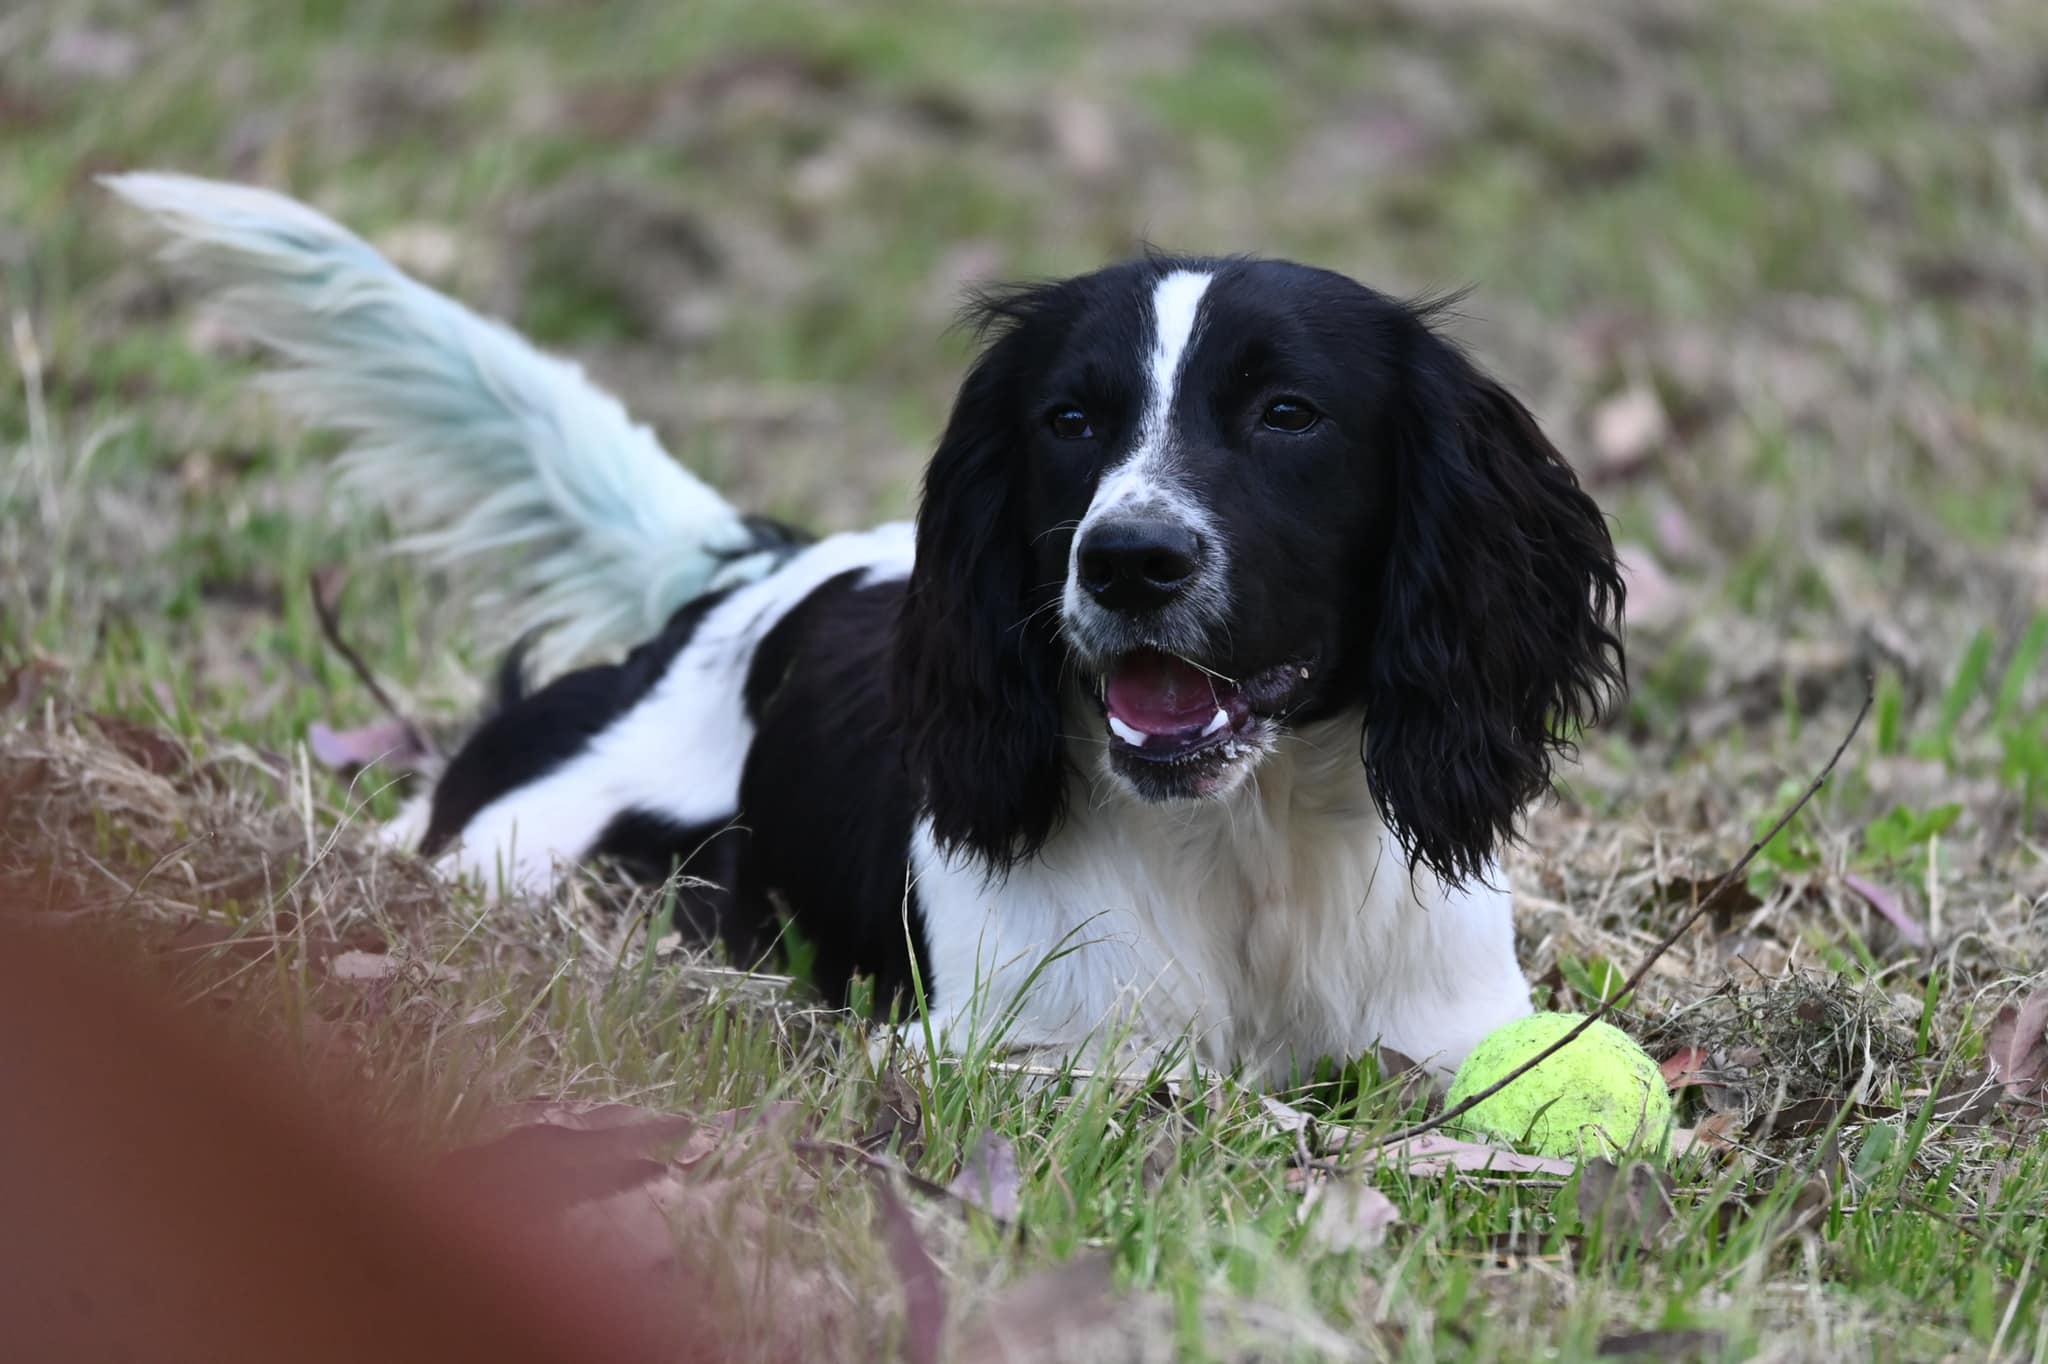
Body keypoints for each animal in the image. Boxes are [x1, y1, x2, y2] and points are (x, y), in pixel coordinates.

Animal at [116, 173, 1613, 1081]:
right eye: (1069, 417)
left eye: (1288, 413)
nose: (1127, 559)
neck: (1239, 851)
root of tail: (748, 573)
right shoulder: (1006, 1051)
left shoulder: (1452, 1028)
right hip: (519, 845)